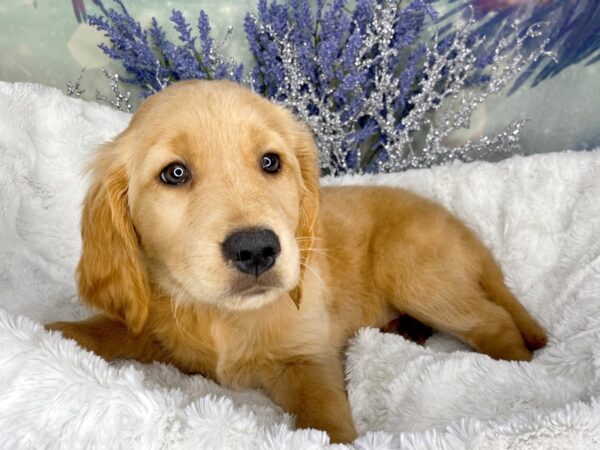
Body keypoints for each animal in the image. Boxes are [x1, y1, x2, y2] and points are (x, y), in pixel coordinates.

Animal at [48, 80, 548, 442]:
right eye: (174, 173)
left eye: (271, 162)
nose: (256, 249)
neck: (223, 318)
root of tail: (466, 230)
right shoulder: (158, 328)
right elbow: (109, 329)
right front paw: (56, 332)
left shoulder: (308, 359)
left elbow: (324, 416)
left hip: (418, 275)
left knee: (494, 320)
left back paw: (518, 372)